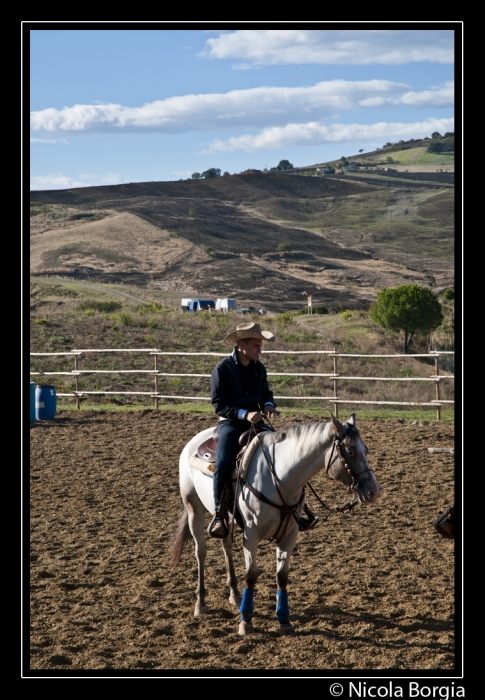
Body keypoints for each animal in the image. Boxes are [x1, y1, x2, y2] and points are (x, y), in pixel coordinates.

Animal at [168, 412, 380, 636]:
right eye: (350, 451)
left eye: (366, 449)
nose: (374, 491)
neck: (279, 476)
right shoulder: (251, 535)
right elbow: (251, 576)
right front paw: (246, 621)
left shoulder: (289, 535)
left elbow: (282, 576)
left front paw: (284, 620)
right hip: (194, 509)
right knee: (200, 552)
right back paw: (200, 603)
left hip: (227, 520)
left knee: (226, 545)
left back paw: (234, 594)